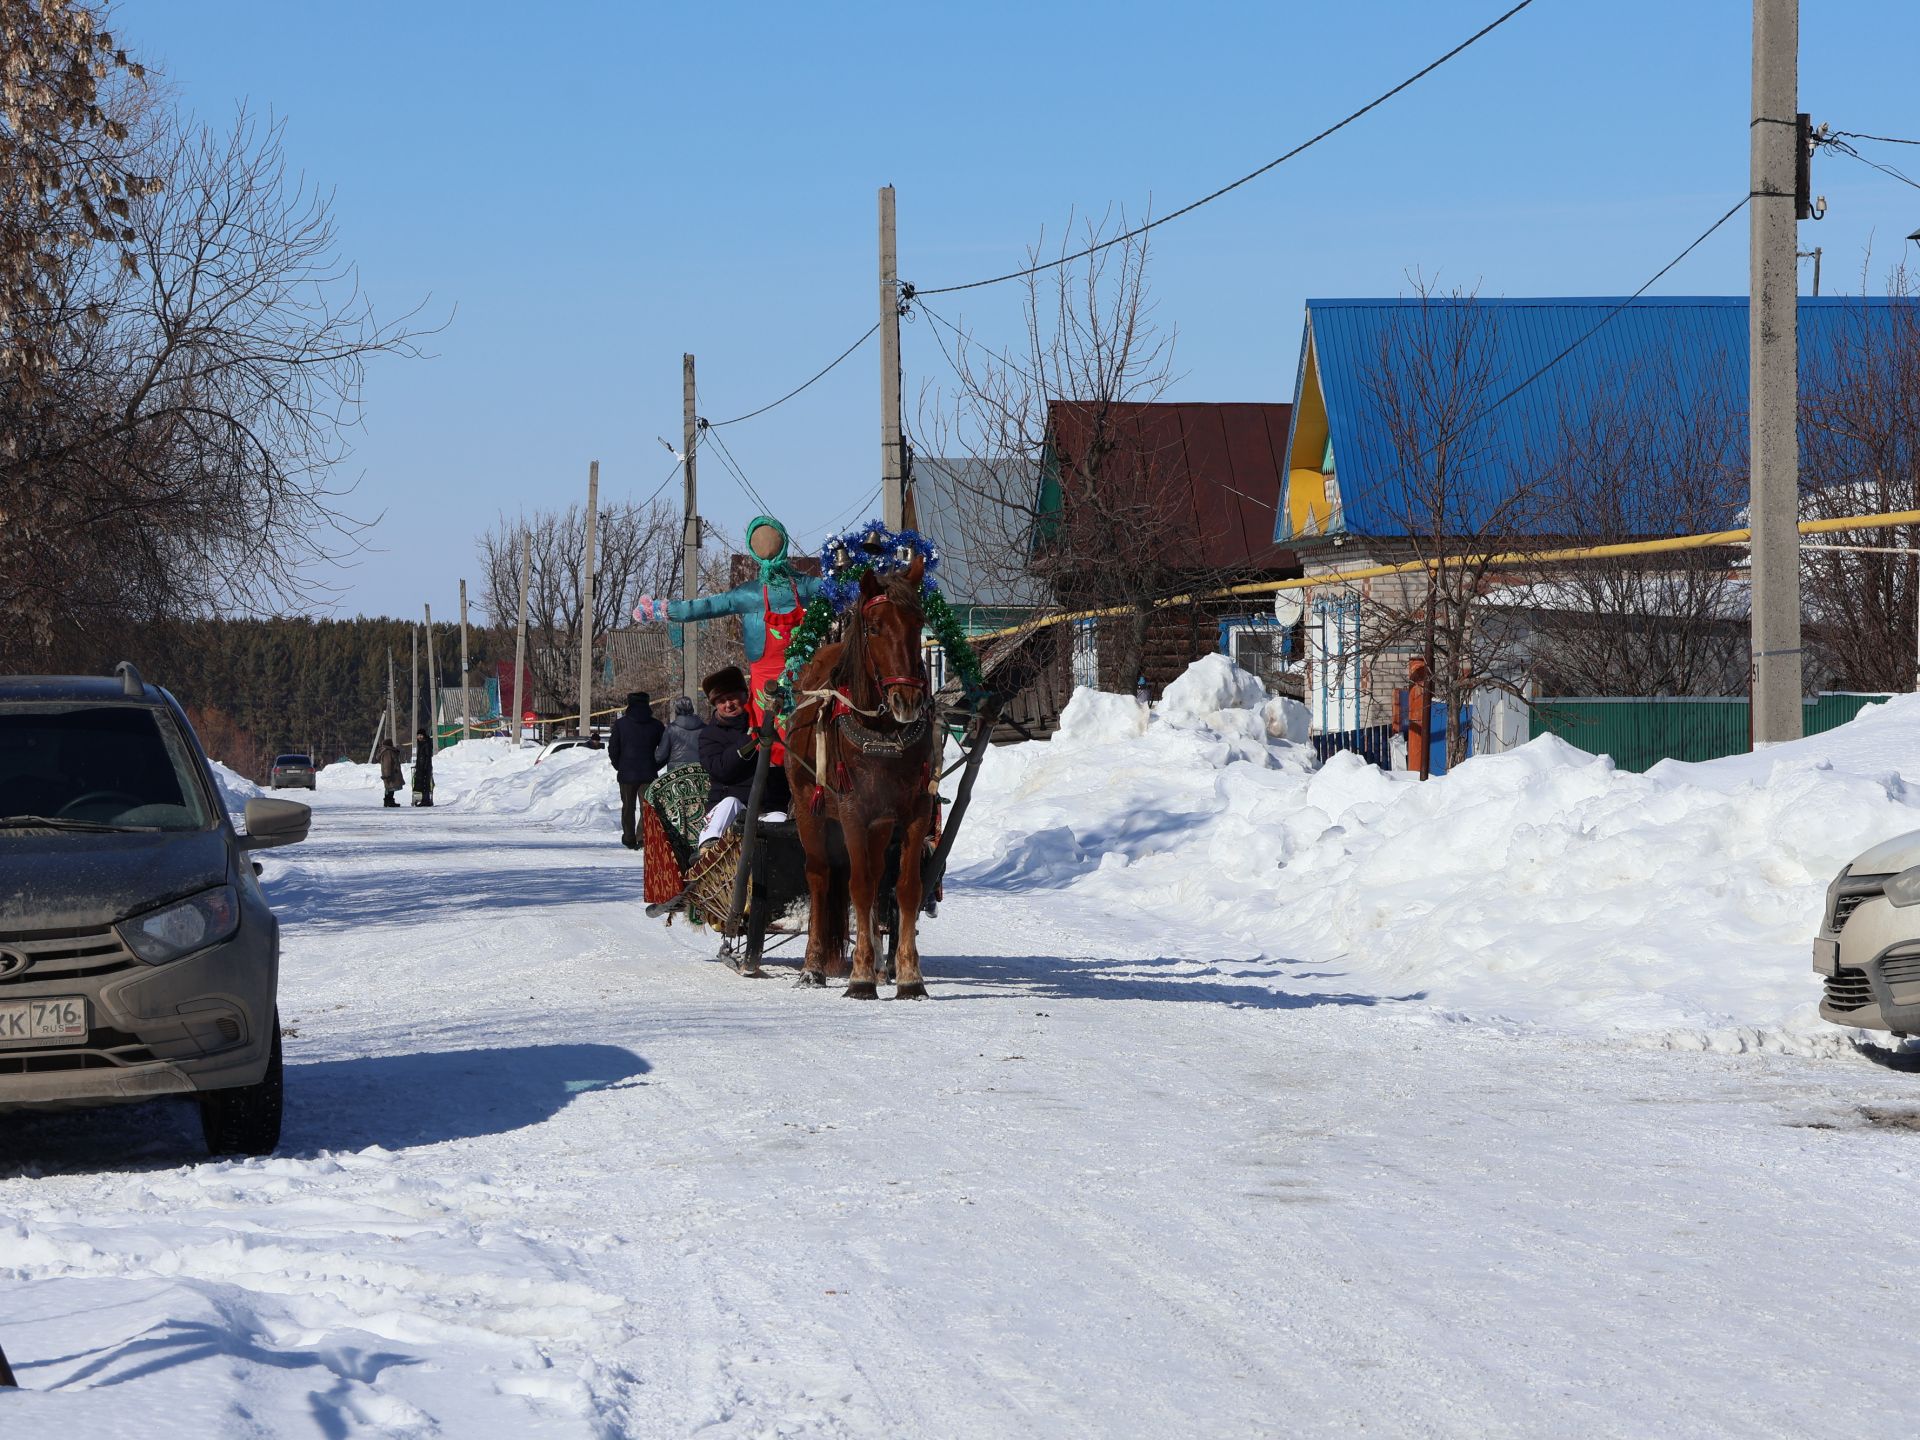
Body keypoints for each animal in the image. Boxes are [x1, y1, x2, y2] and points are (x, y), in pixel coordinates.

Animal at [783, 556, 940, 998]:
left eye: (918, 623)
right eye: (874, 627)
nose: (907, 700)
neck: (882, 733)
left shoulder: (914, 811)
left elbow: (905, 888)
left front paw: (908, 976)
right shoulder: (853, 811)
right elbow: (860, 886)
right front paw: (859, 978)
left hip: (881, 825)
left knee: (873, 875)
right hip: (810, 810)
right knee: (821, 877)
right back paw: (814, 966)